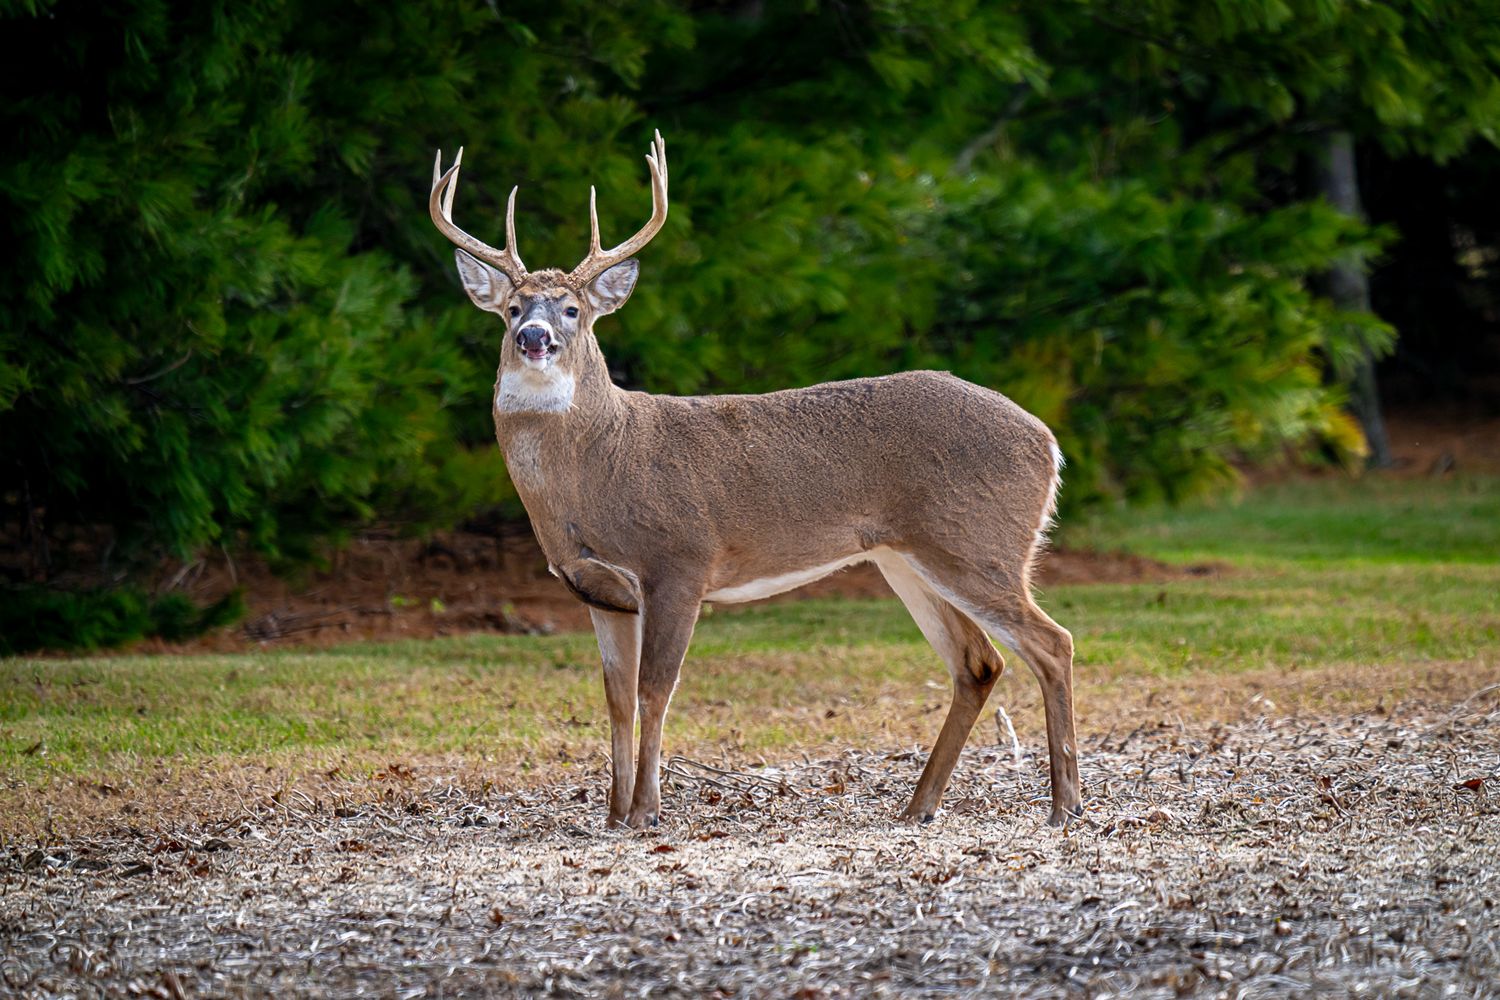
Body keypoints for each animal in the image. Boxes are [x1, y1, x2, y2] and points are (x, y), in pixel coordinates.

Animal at [429, 131, 1083, 830]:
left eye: (573, 309)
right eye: (512, 308)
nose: (534, 337)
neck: (596, 472)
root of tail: (1048, 442)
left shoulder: (679, 562)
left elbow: (656, 690)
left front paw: (646, 813)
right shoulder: (598, 591)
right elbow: (616, 699)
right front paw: (611, 815)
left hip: (978, 543)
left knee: (1053, 641)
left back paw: (1064, 804)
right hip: (905, 557)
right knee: (978, 662)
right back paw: (920, 806)